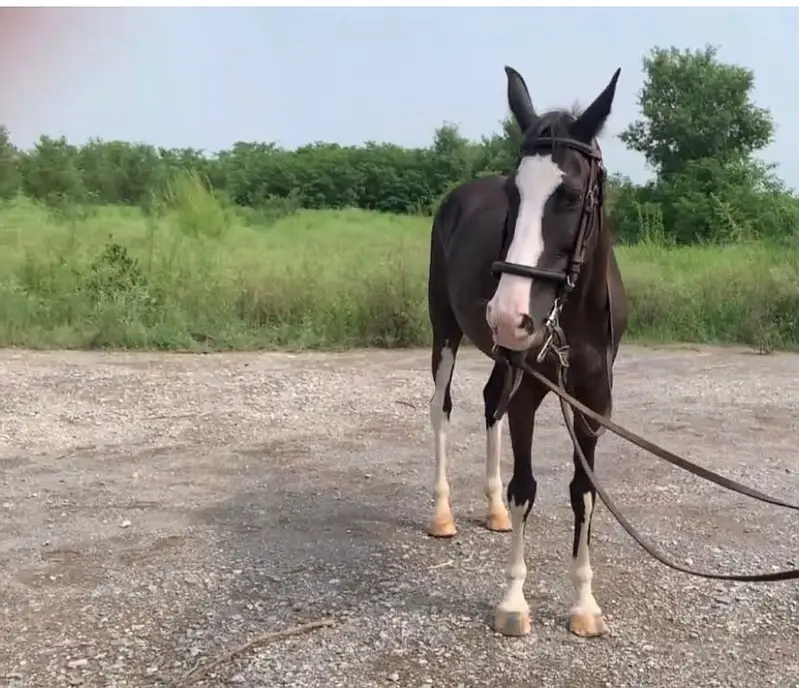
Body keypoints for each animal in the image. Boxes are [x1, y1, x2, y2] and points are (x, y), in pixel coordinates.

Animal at [425, 64, 628, 639]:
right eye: (513, 195)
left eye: (573, 195)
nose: (508, 314)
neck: (571, 318)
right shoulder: (530, 395)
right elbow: (526, 487)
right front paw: (514, 600)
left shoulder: (594, 404)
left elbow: (584, 492)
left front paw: (584, 604)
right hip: (445, 332)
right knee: (443, 408)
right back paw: (443, 515)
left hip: (503, 357)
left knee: (489, 402)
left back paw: (492, 510)